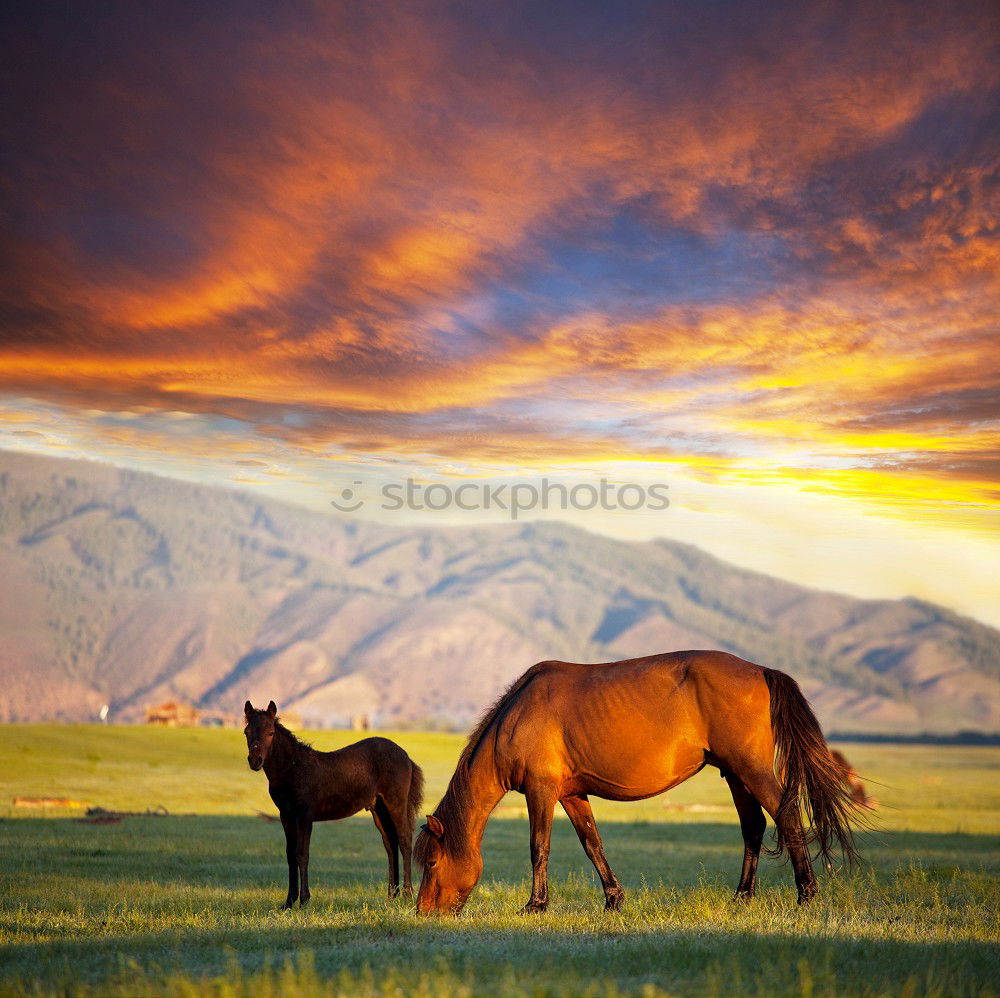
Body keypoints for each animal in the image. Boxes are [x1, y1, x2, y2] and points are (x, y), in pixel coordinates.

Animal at [249, 704, 426, 908]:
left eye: (270, 733)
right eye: (246, 732)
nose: (255, 761)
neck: (294, 768)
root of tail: (405, 755)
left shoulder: (305, 815)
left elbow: (302, 854)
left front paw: (304, 901)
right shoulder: (286, 815)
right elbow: (290, 855)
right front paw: (288, 902)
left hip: (396, 803)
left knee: (404, 840)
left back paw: (407, 895)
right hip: (379, 809)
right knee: (390, 843)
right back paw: (391, 896)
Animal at [414, 652, 860, 916]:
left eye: (432, 863)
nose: (422, 911)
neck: (517, 717)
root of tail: (761, 671)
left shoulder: (541, 792)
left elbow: (539, 847)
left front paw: (536, 904)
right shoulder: (572, 794)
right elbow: (592, 844)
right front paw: (613, 900)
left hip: (751, 770)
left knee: (787, 817)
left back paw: (807, 893)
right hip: (735, 774)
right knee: (753, 827)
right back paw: (743, 896)